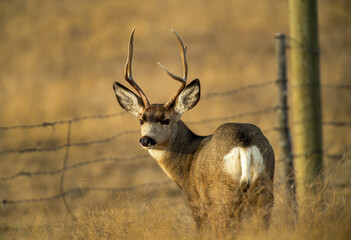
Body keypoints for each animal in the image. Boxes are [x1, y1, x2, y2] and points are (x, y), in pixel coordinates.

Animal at [113, 27, 276, 236]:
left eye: (166, 120)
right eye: (141, 119)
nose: (146, 140)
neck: (186, 163)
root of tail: (244, 145)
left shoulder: (195, 201)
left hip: (220, 197)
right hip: (264, 190)